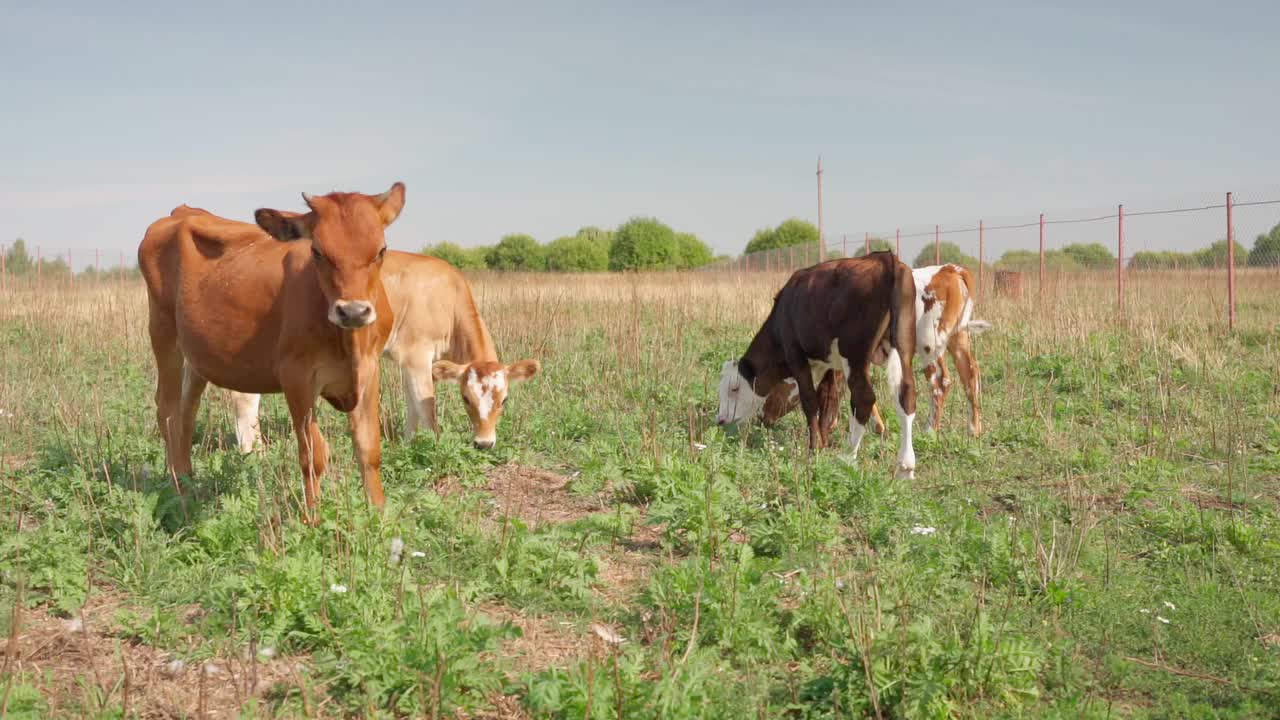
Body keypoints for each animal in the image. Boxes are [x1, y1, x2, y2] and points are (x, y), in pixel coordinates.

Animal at [138, 181, 404, 517]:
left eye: (381, 250)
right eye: (317, 252)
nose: (353, 311)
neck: (348, 343)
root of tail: (181, 212)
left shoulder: (369, 371)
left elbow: (369, 448)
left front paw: (380, 514)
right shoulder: (296, 376)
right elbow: (313, 454)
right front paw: (313, 518)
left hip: (196, 356)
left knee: (186, 413)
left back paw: (187, 483)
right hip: (163, 334)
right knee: (169, 410)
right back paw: (180, 497)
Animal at [235, 248, 540, 448]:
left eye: (505, 400)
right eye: (465, 398)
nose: (484, 443)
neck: (449, 298)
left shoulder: (408, 361)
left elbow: (413, 405)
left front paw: (408, 443)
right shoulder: (417, 354)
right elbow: (426, 406)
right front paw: (431, 450)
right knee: (244, 399)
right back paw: (254, 454)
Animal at [716, 252, 916, 476]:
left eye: (734, 388)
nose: (720, 420)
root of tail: (885, 258)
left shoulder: (796, 355)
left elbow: (810, 401)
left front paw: (815, 447)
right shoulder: (830, 365)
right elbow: (827, 397)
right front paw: (824, 439)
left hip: (854, 355)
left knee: (863, 398)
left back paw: (848, 457)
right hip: (904, 346)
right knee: (906, 393)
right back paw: (906, 465)